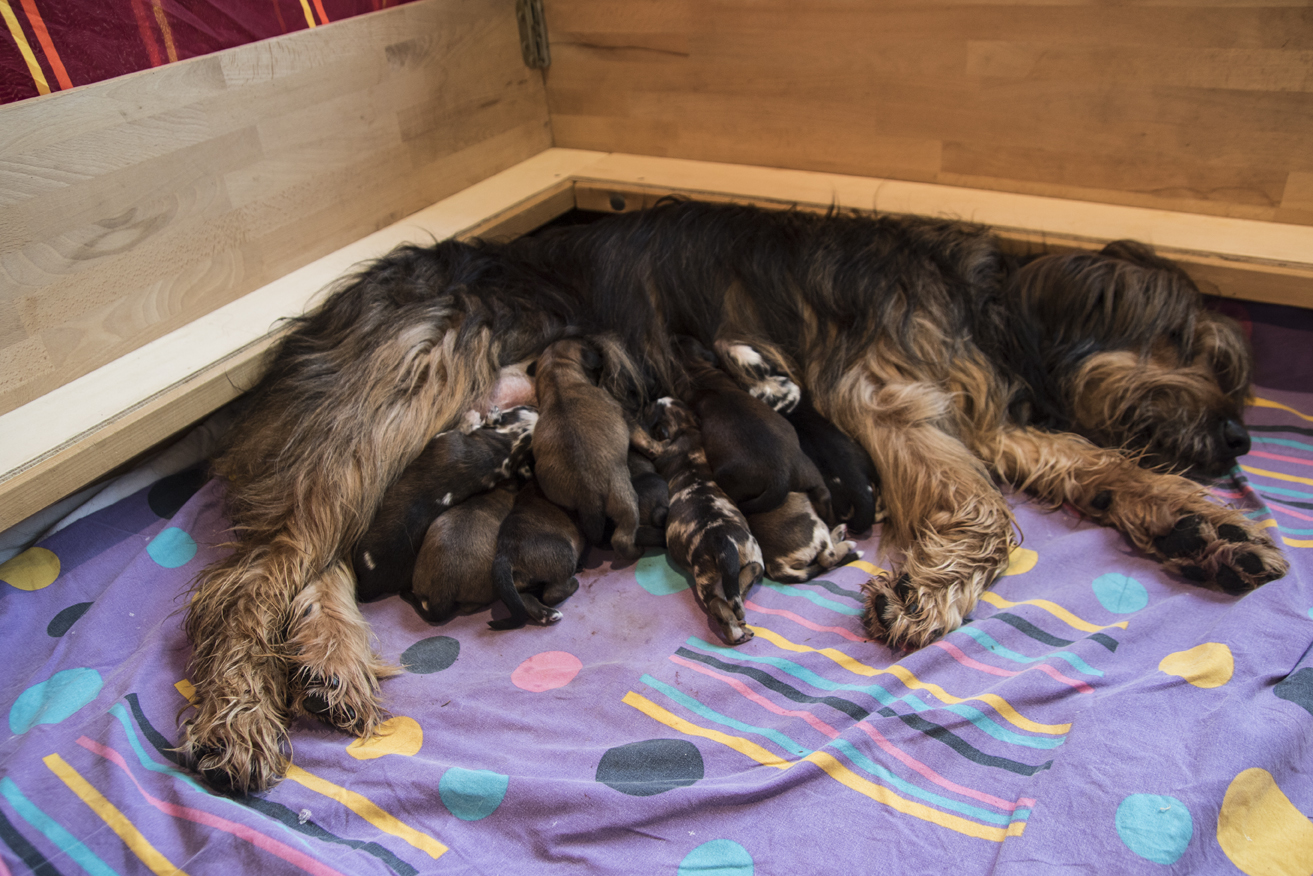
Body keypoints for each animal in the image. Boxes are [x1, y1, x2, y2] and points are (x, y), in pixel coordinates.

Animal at [352, 406, 536, 603]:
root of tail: (369, 587)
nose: (535, 407)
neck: (502, 448)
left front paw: (471, 416)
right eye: (527, 407)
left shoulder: (444, 436)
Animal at [487, 479, 585, 630]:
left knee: (523, 599)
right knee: (550, 594)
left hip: (519, 583)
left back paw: (546, 614)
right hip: (565, 555)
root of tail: (506, 554)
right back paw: (572, 583)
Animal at [634, 397, 765, 645]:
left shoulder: (658, 447)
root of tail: (723, 540)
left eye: (652, 409)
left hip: (705, 581)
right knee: (739, 588)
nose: (653, 399)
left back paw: (735, 634)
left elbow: (641, 438)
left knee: (719, 606)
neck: (684, 429)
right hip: (751, 553)